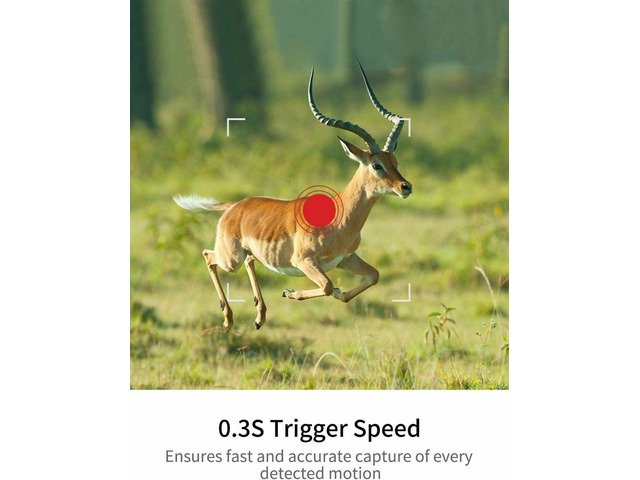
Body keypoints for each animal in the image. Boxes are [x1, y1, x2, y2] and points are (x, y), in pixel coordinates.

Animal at [174, 62, 412, 331]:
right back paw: (229, 319)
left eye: (395, 161)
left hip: (246, 255)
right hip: (230, 258)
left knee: (248, 261)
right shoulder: (304, 261)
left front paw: (337, 293)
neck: (340, 220)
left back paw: (259, 317)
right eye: (376, 165)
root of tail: (236, 206)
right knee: (208, 256)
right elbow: (327, 286)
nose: (406, 187)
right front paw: (289, 292)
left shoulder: (345, 258)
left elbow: (372, 276)